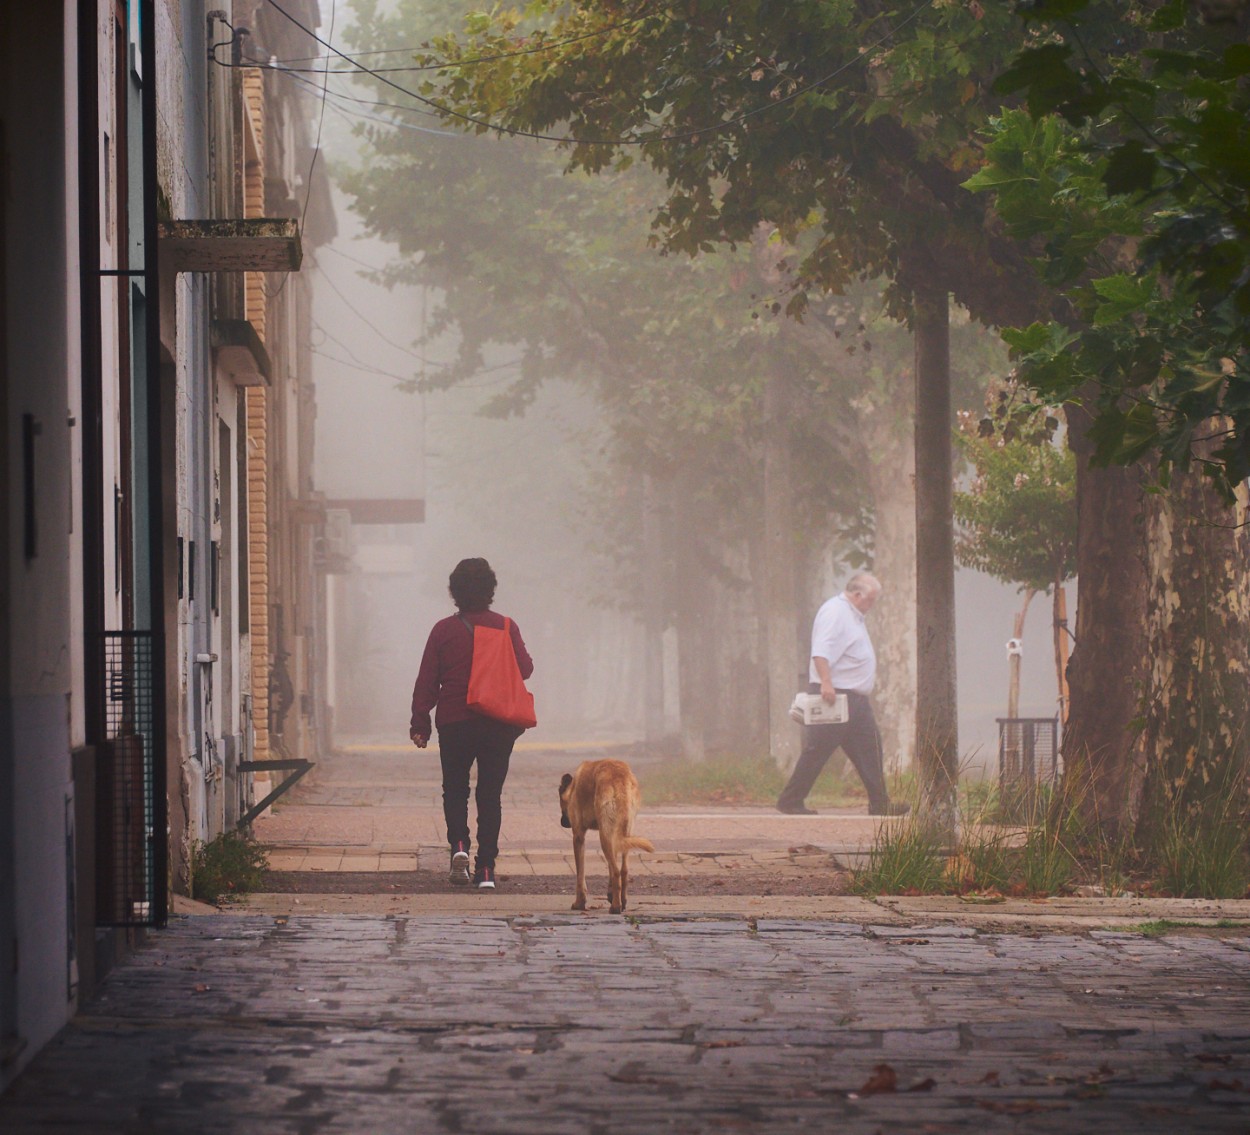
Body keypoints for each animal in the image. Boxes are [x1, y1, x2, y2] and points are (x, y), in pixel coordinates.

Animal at [560, 765, 655, 915]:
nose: (563, 823)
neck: (573, 787)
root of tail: (620, 777)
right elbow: (610, 867)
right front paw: (610, 894)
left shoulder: (578, 837)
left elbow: (580, 875)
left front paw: (579, 903)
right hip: (622, 834)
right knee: (623, 870)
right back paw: (622, 901)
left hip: (604, 837)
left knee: (616, 872)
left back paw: (615, 907)